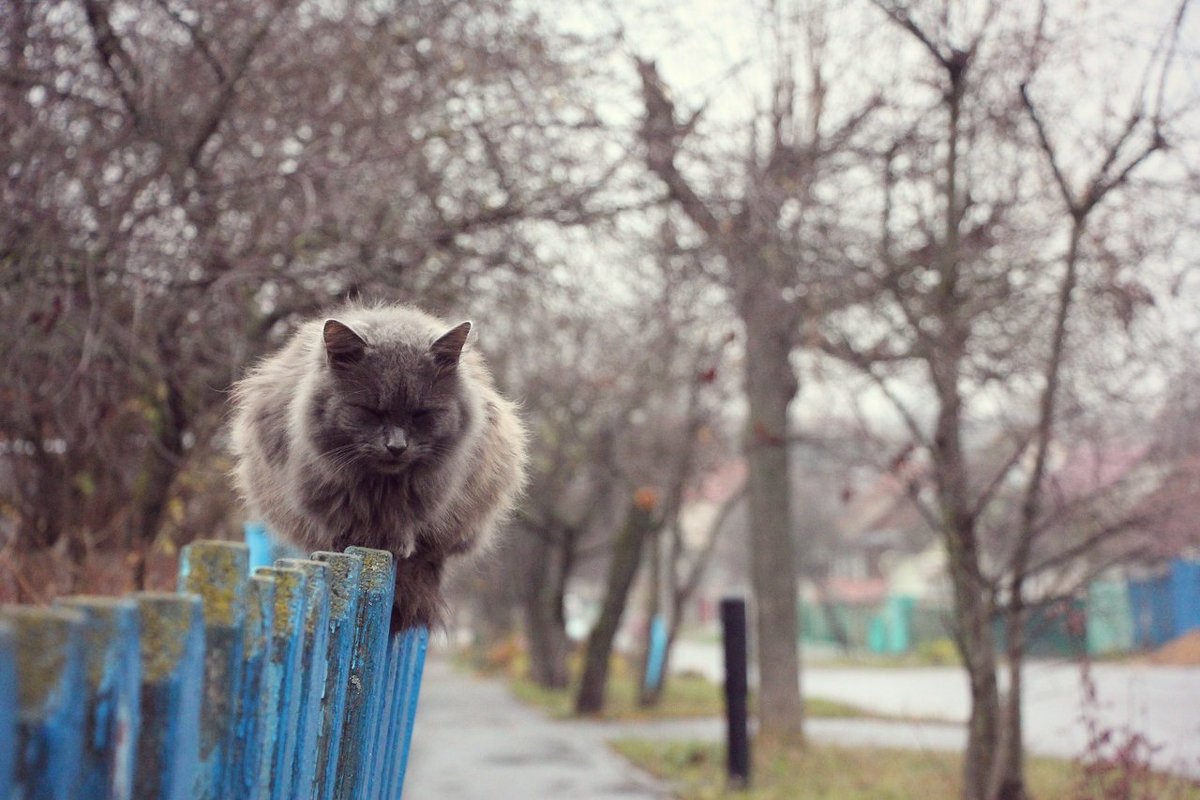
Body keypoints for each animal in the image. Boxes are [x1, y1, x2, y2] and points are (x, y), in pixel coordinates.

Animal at [231, 302, 528, 633]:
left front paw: (397, 542)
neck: (379, 488)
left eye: (420, 414)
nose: (396, 446)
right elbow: (337, 523)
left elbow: (406, 521)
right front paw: (348, 538)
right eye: (370, 411)